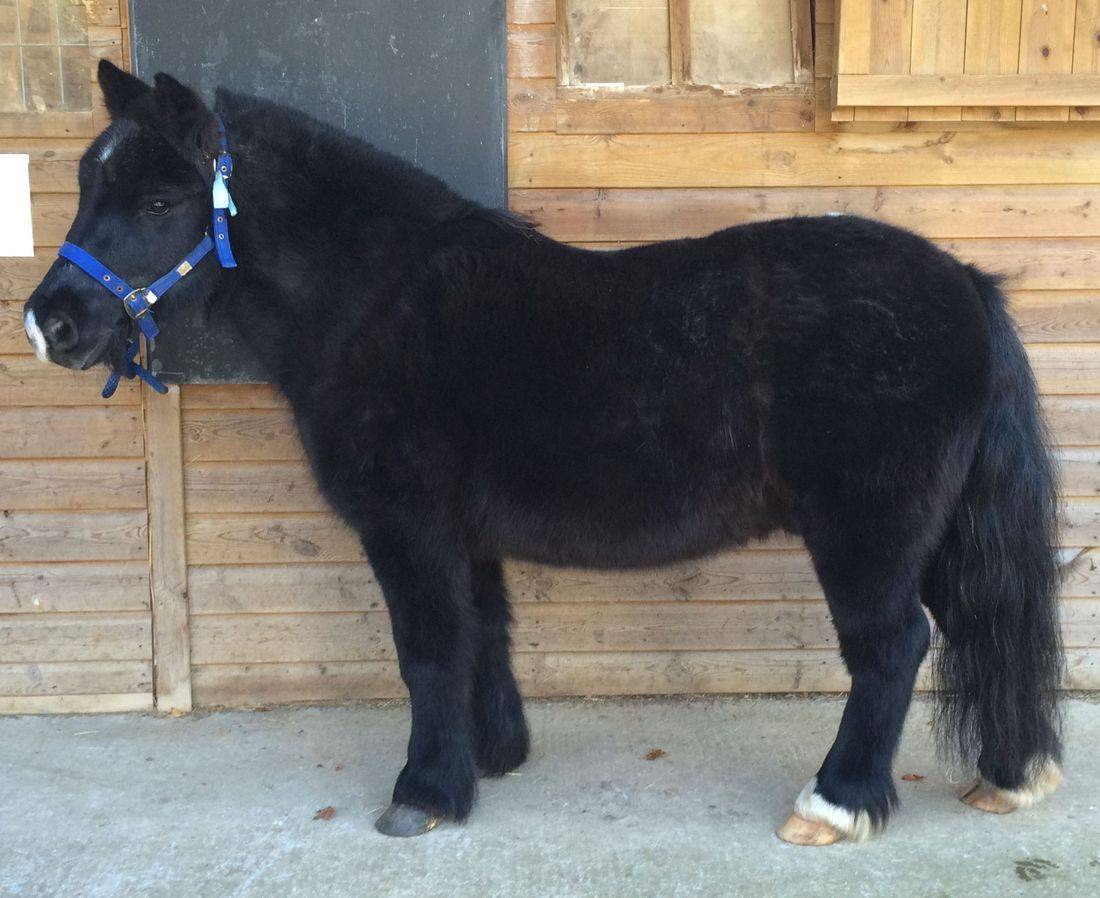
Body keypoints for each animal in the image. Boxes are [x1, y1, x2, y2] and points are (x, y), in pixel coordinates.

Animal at [23, 60, 1064, 844]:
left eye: (161, 199)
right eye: (85, 185)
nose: (50, 322)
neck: (378, 301)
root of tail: (966, 284)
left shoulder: (406, 527)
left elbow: (427, 651)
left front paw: (423, 794)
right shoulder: (461, 534)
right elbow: (483, 634)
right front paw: (490, 760)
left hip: (868, 534)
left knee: (893, 648)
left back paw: (833, 806)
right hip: (937, 532)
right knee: (977, 622)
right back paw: (1007, 777)